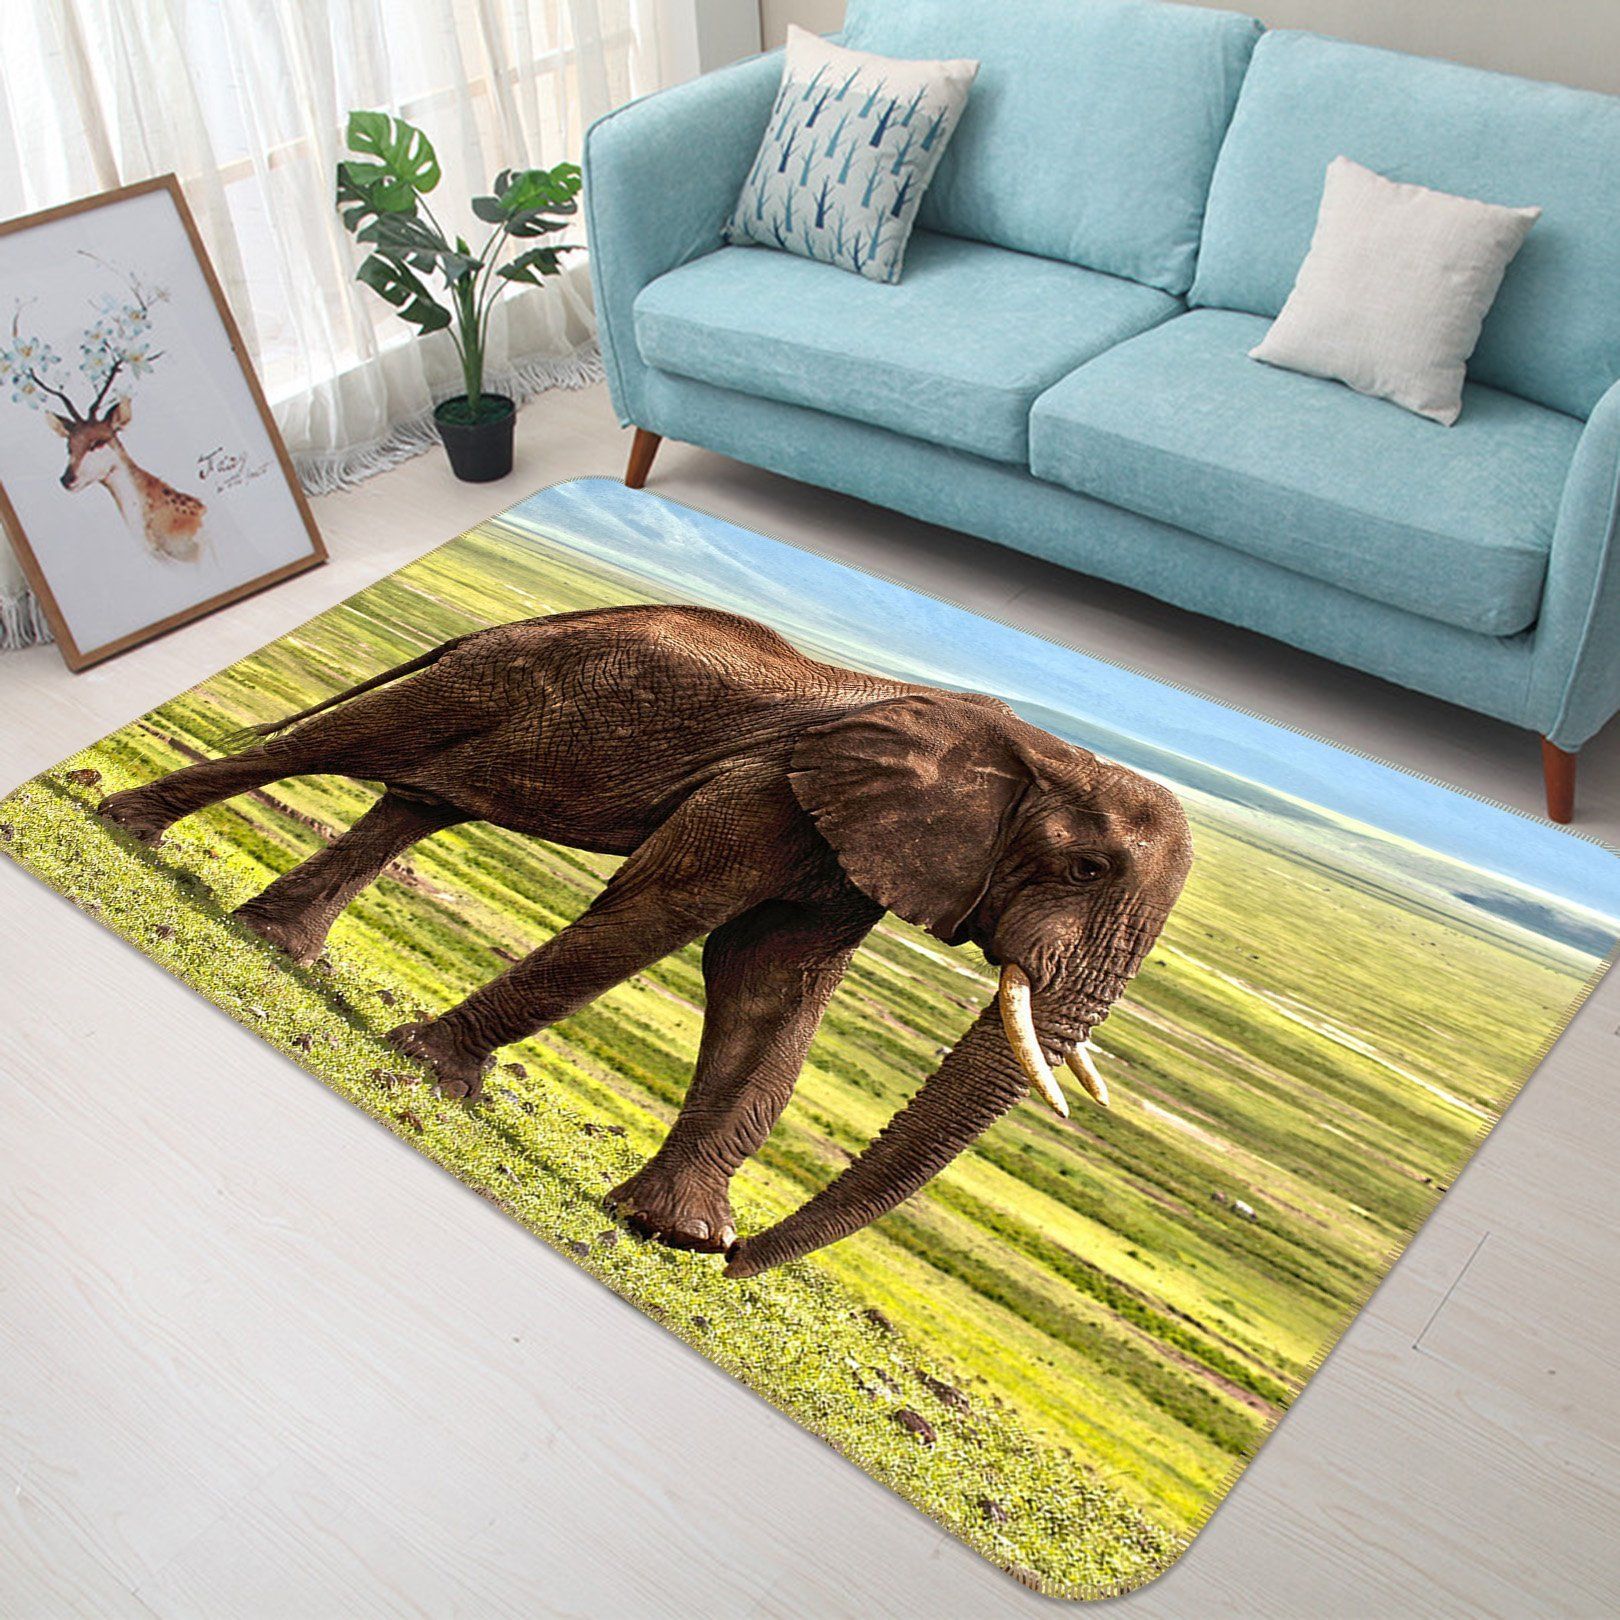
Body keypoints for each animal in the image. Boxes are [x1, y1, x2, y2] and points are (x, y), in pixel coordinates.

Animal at [97, 603, 1193, 1277]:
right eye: (1086, 870)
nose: (743, 1265)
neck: (1038, 747)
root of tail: (506, 625)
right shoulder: (769, 792)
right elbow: (655, 914)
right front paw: (431, 1073)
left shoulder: (845, 856)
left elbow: (768, 992)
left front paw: (672, 1236)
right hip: (485, 683)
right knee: (346, 746)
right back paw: (123, 828)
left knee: (420, 801)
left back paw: (278, 946)